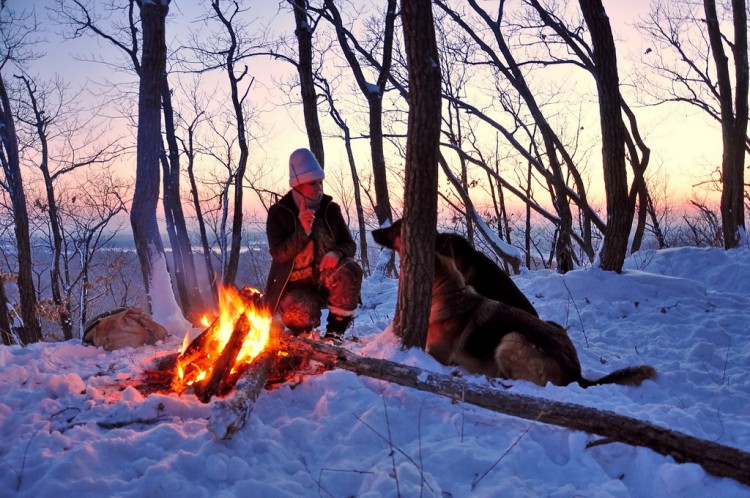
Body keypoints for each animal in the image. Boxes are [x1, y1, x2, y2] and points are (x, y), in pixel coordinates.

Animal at [374, 222, 656, 390]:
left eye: (397, 227)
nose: (374, 232)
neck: (450, 292)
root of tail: (577, 374)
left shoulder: (436, 354)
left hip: (510, 340)